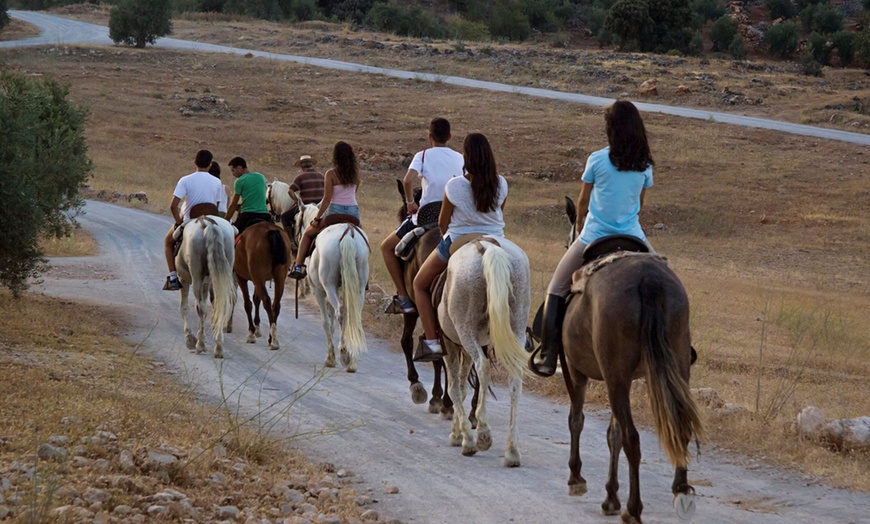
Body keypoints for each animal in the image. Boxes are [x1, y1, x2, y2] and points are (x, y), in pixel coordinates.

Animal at [175, 215, 237, 358]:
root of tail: (209, 223)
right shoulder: (206, 284)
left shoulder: (183, 280)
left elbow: (184, 308)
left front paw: (189, 339)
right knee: (221, 306)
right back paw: (218, 347)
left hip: (196, 275)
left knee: (200, 308)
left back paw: (200, 345)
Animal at [232, 219, 292, 350]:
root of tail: (271, 231)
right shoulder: (260, 279)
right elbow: (256, 299)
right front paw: (257, 328)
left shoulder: (242, 278)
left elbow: (248, 304)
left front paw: (252, 333)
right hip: (279, 276)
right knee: (275, 304)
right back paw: (272, 337)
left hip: (257, 275)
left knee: (266, 301)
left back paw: (273, 339)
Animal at [298, 205, 370, 372]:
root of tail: (348, 233)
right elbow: (332, 324)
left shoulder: (319, 291)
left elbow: (326, 322)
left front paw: (330, 358)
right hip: (359, 287)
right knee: (353, 315)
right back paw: (351, 360)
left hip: (328, 285)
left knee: (341, 313)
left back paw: (344, 354)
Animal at [442, 237, 532, 466]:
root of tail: (489, 247)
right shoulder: (463, 348)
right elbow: (462, 388)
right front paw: (458, 432)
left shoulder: (449, 343)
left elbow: (455, 389)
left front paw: (464, 438)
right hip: (516, 325)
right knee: (515, 378)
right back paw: (512, 451)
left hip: (466, 331)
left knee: (483, 367)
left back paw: (482, 432)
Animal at [564, 248, 704, 520]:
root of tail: (649, 279)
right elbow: (612, 435)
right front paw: (610, 495)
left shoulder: (576, 371)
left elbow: (577, 421)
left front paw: (576, 478)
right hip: (676, 364)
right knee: (679, 427)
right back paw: (680, 489)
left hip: (614, 377)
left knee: (632, 438)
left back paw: (633, 508)